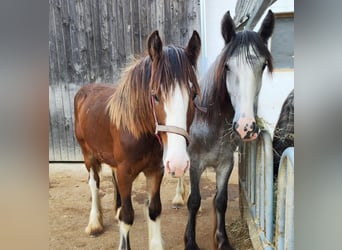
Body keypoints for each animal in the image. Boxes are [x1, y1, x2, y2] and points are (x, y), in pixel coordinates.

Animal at [74, 29, 200, 250]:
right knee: (94, 184)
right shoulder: (126, 173)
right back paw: (95, 223)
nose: (178, 164)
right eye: (155, 95)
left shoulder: (155, 170)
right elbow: (127, 217)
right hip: (88, 155)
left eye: (193, 95)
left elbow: (154, 210)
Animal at [182, 10, 276, 250]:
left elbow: (220, 201)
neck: (211, 124)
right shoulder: (195, 163)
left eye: (263, 66)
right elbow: (194, 201)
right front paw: (190, 241)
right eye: (227, 66)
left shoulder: (225, 163)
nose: (246, 127)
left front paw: (223, 240)